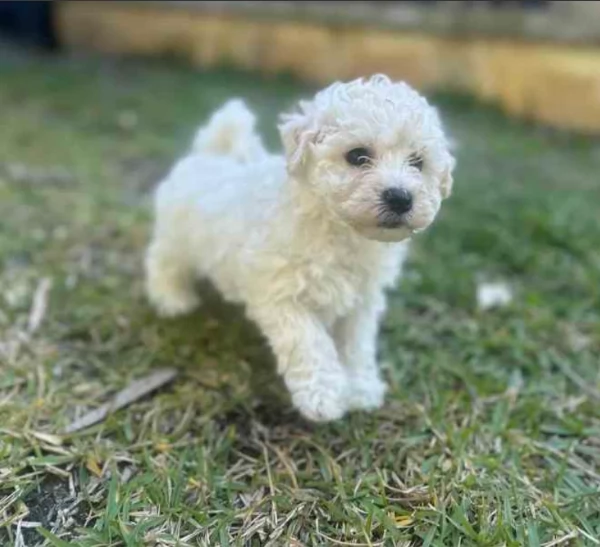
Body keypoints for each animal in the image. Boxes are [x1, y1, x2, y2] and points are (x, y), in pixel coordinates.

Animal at [145, 73, 454, 424]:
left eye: (418, 162)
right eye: (357, 155)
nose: (401, 198)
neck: (339, 229)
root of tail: (209, 153)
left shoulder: (362, 301)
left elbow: (356, 345)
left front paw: (361, 389)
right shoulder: (282, 293)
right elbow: (309, 342)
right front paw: (323, 396)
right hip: (175, 238)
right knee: (163, 261)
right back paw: (172, 299)